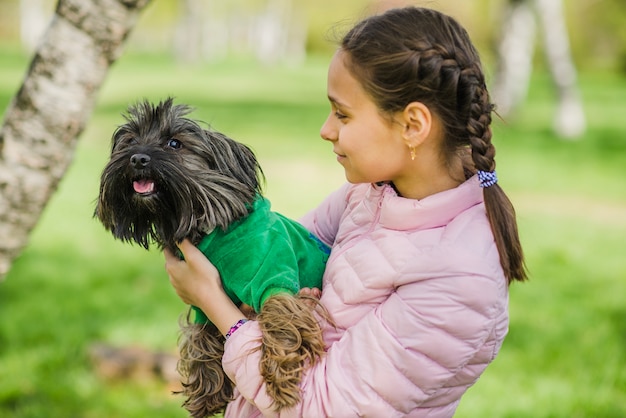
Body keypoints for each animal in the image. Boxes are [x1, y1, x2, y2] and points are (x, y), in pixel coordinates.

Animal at [95, 99, 330, 418]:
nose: (137, 159)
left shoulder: (272, 277)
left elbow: (279, 318)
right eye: (130, 140)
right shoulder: (203, 306)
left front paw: (280, 377)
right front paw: (207, 392)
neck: (209, 232)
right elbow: (201, 336)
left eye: (174, 143)